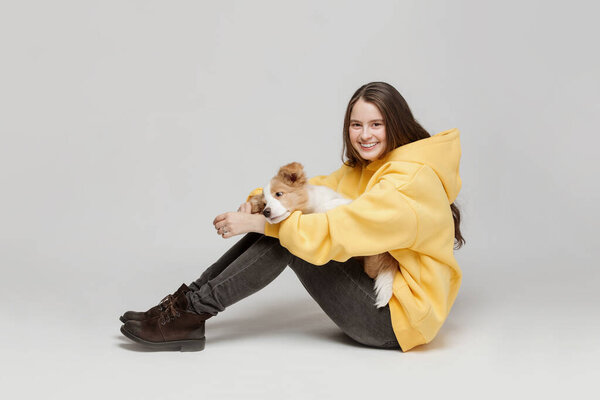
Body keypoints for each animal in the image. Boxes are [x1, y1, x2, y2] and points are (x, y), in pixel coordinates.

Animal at [248, 161, 398, 308]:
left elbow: (333, 207)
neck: (309, 208)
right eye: (264, 204)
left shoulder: (340, 202)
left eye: (279, 194)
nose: (266, 212)